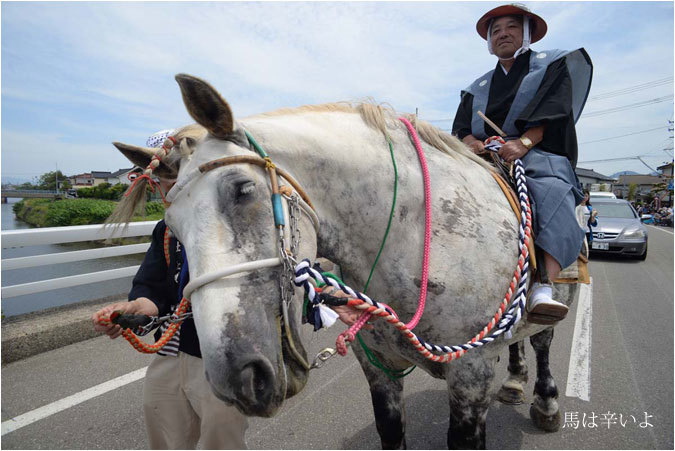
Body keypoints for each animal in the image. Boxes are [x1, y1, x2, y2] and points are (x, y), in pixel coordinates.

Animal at [113, 74, 580, 448]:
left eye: (243, 189)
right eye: (172, 225)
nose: (238, 377)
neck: (416, 240)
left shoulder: (471, 373)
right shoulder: (377, 368)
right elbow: (390, 430)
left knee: (541, 339)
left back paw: (545, 401)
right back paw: (515, 379)